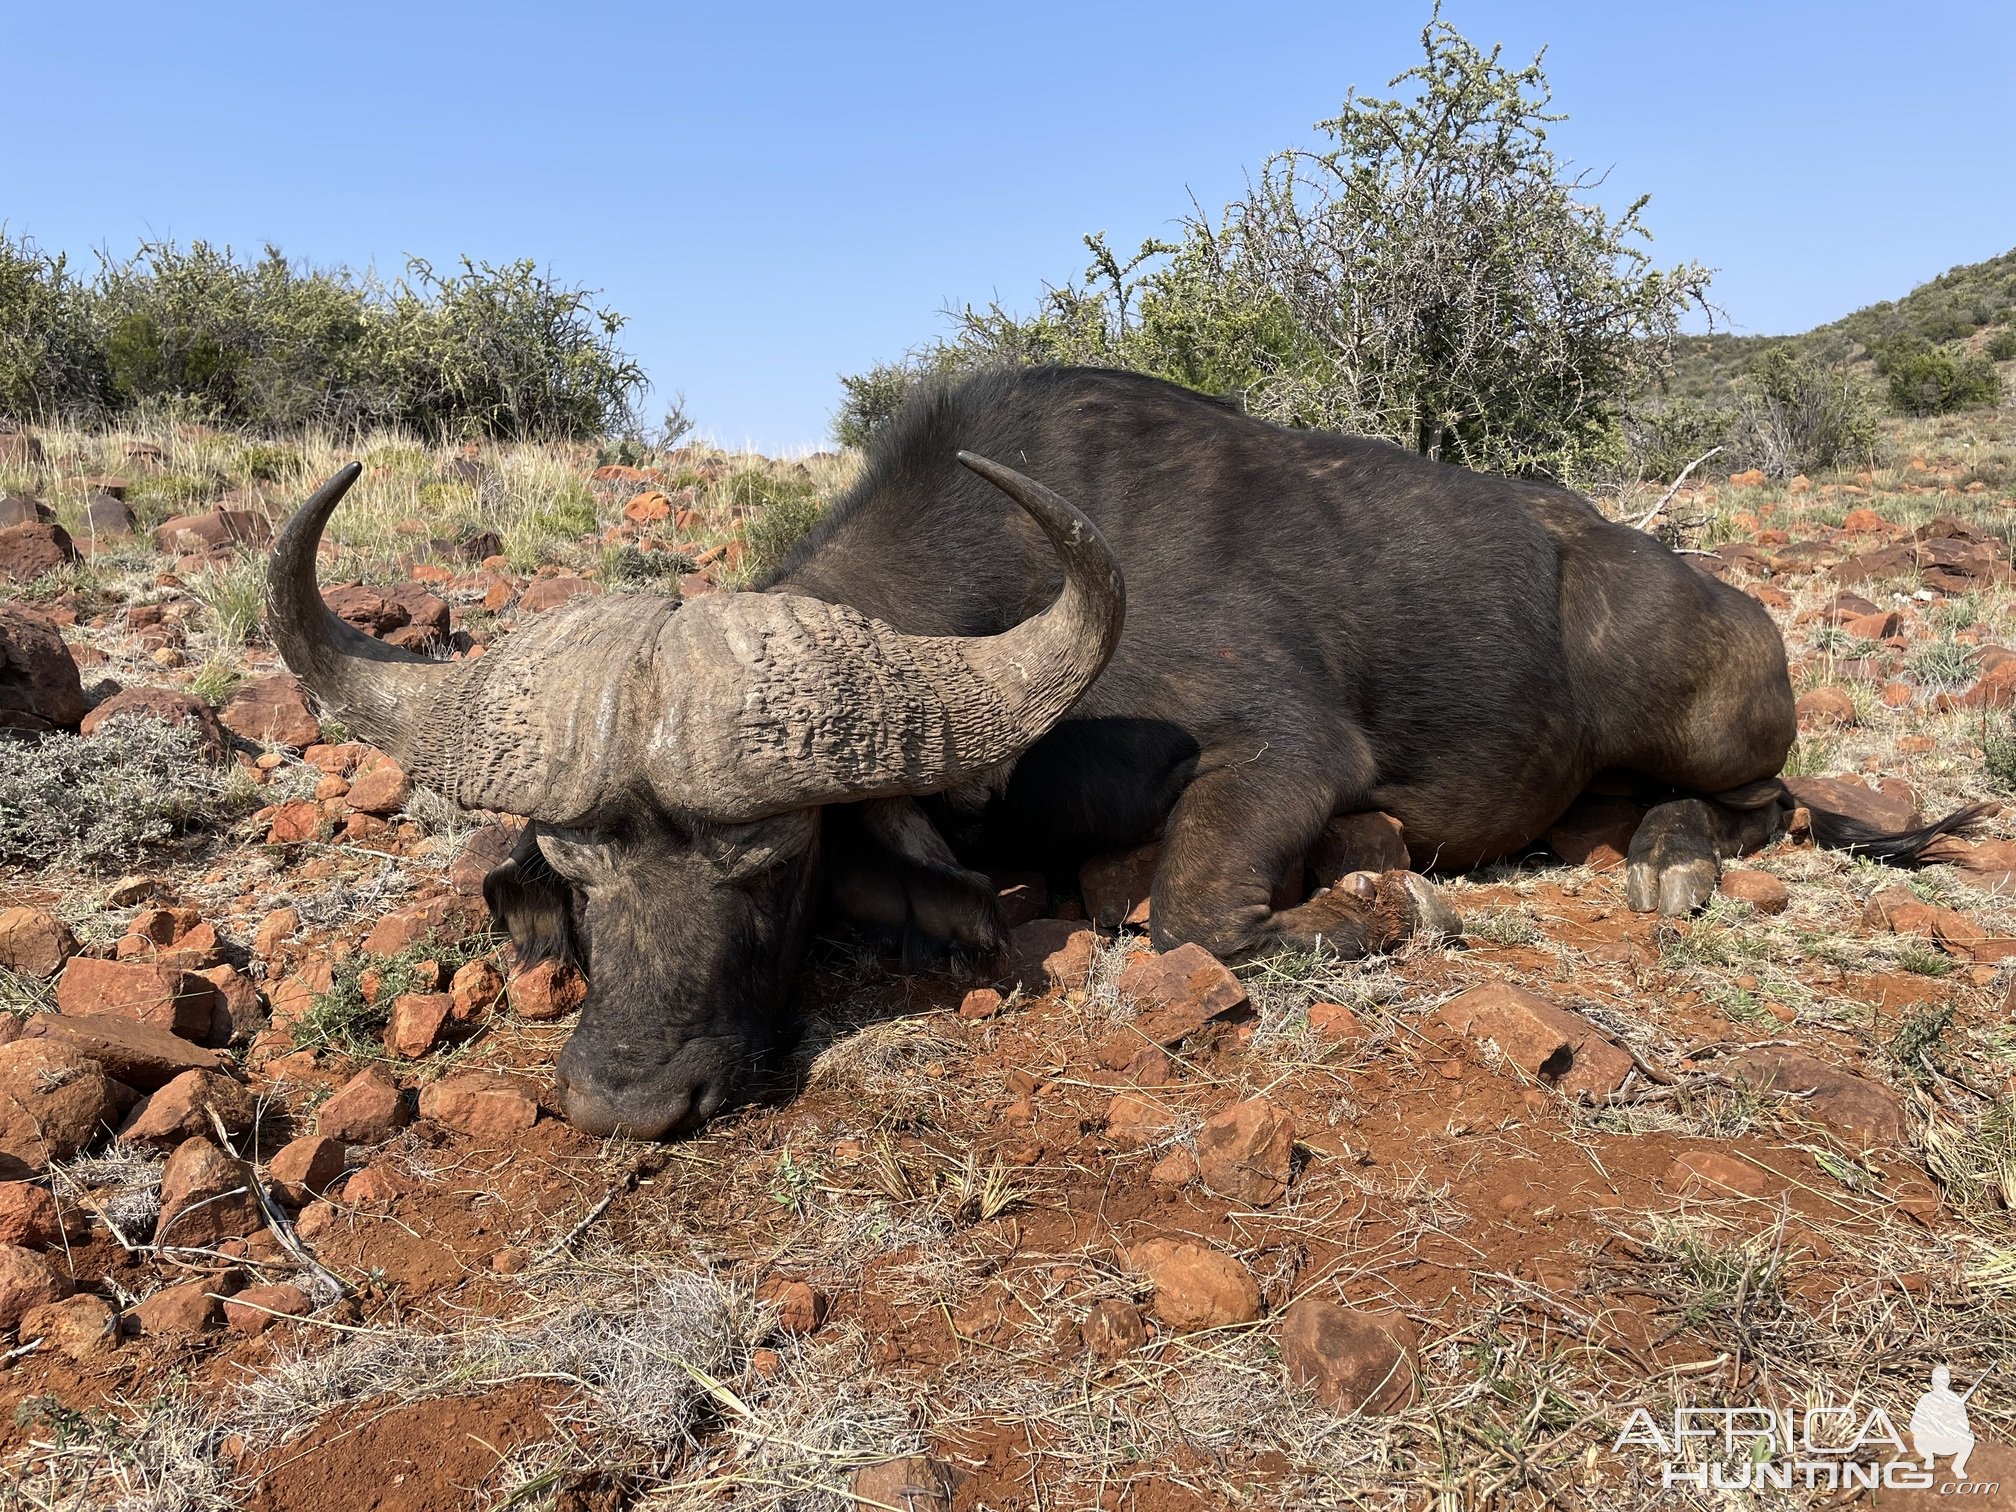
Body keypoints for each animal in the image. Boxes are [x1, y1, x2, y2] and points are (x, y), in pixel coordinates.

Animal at [268, 366, 1983, 1137]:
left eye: (762, 858)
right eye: (578, 863)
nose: (628, 1096)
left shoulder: (1278, 758)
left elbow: (1188, 910)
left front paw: (1391, 897)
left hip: (1703, 696)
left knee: (1753, 798)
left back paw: (1671, 865)